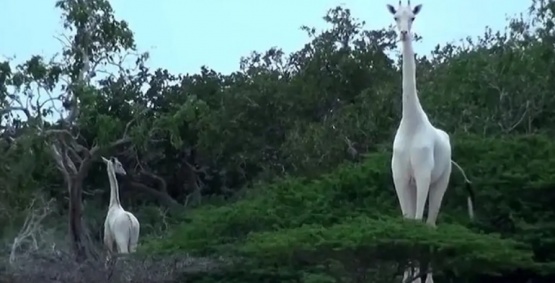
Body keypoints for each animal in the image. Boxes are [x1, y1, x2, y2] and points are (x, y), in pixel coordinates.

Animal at [388, 1, 476, 282]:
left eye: (413, 17)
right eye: (396, 17)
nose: (404, 33)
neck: (411, 123)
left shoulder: (424, 174)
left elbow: (420, 223)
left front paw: (418, 277)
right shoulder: (401, 177)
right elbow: (408, 223)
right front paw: (407, 276)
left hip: (441, 180)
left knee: (431, 223)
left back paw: (428, 277)